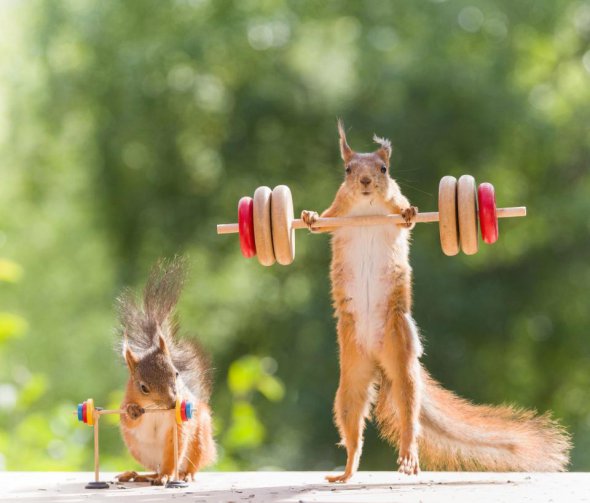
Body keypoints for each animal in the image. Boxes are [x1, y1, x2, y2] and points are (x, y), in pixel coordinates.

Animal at [115, 258, 217, 486]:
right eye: (143, 387)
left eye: (176, 374)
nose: (172, 403)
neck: (157, 410)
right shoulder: (127, 399)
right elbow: (127, 418)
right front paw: (133, 411)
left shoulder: (177, 427)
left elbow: (174, 451)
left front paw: (168, 476)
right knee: (154, 469)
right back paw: (138, 475)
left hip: (199, 441)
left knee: (189, 464)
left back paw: (182, 474)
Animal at [302, 121, 572, 484]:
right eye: (347, 169)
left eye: (384, 169)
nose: (366, 181)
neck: (367, 208)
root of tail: (377, 361)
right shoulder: (340, 208)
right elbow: (324, 221)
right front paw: (308, 216)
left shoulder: (393, 198)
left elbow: (405, 212)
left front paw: (410, 212)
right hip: (351, 377)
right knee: (353, 429)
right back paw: (345, 472)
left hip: (401, 355)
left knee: (409, 416)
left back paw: (408, 456)